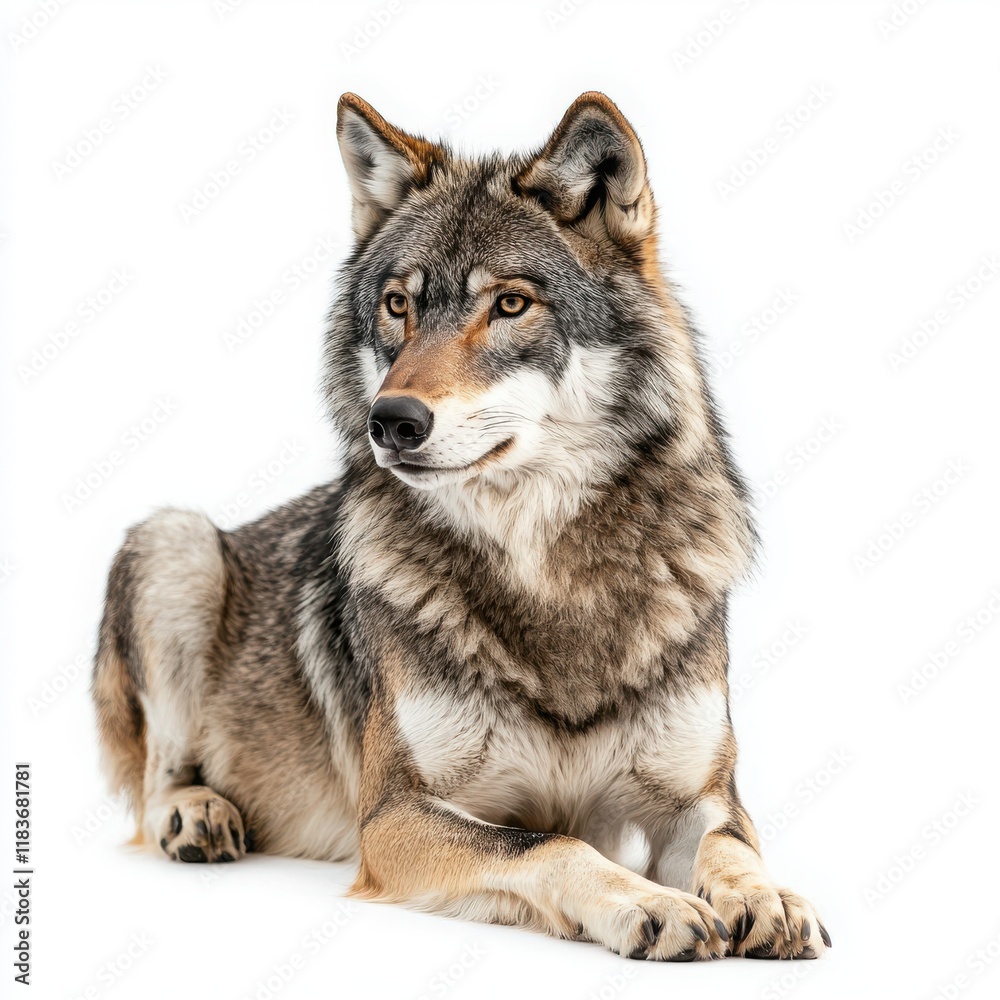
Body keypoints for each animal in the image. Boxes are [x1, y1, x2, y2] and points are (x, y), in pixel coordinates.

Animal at [92, 92, 830, 961]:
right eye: (398, 305)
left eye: (509, 304)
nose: (390, 421)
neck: (547, 575)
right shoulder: (395, 816)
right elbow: (549, 844)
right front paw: (653, 904)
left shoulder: (699, 795)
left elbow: (731, 844)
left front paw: (767, 897)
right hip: (175, 546)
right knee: (154, 785)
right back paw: (196, 814)